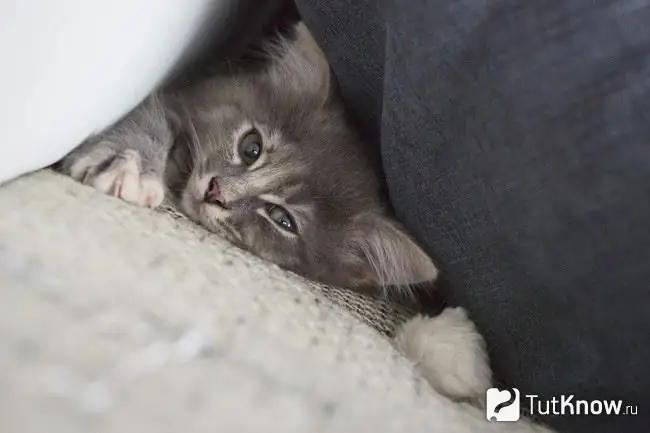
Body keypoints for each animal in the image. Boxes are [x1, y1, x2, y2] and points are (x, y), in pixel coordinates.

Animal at [58, 23, 438, 294]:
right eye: (250, 148)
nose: (217, 192)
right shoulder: (181, 99)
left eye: (282, 219)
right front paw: (127, 162)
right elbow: (150, 120)